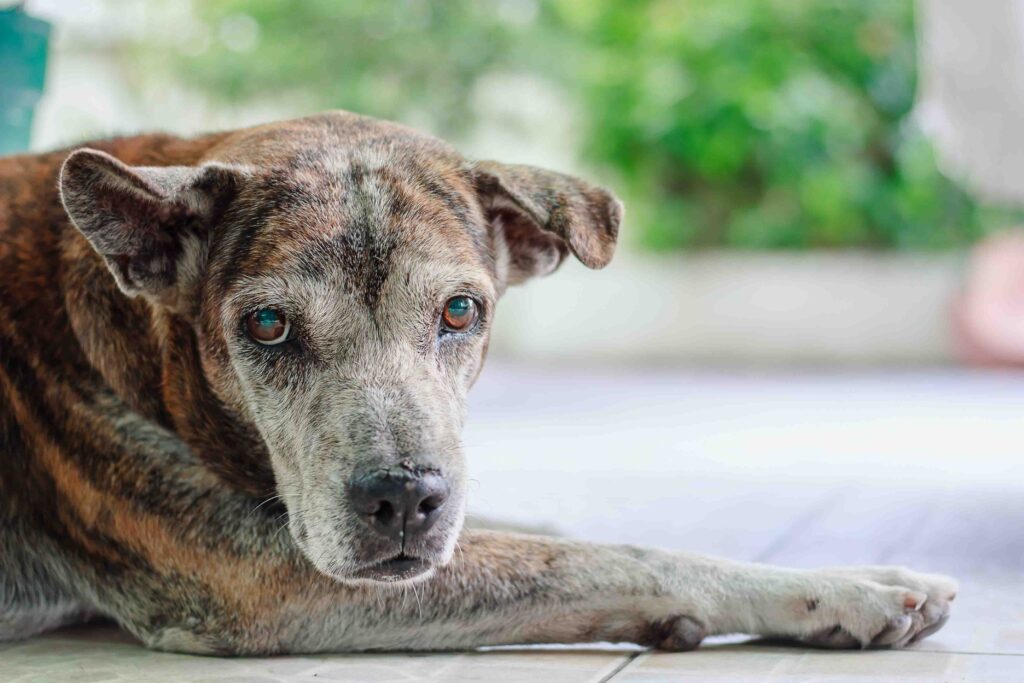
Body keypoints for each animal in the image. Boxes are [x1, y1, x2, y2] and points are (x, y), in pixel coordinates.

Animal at [2, 113, 958, 655]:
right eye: (267, 325)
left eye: (461, 310)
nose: (403, 499)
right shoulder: (262, 579)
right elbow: (604, 558)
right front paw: (850, 590)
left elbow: (551, 533)